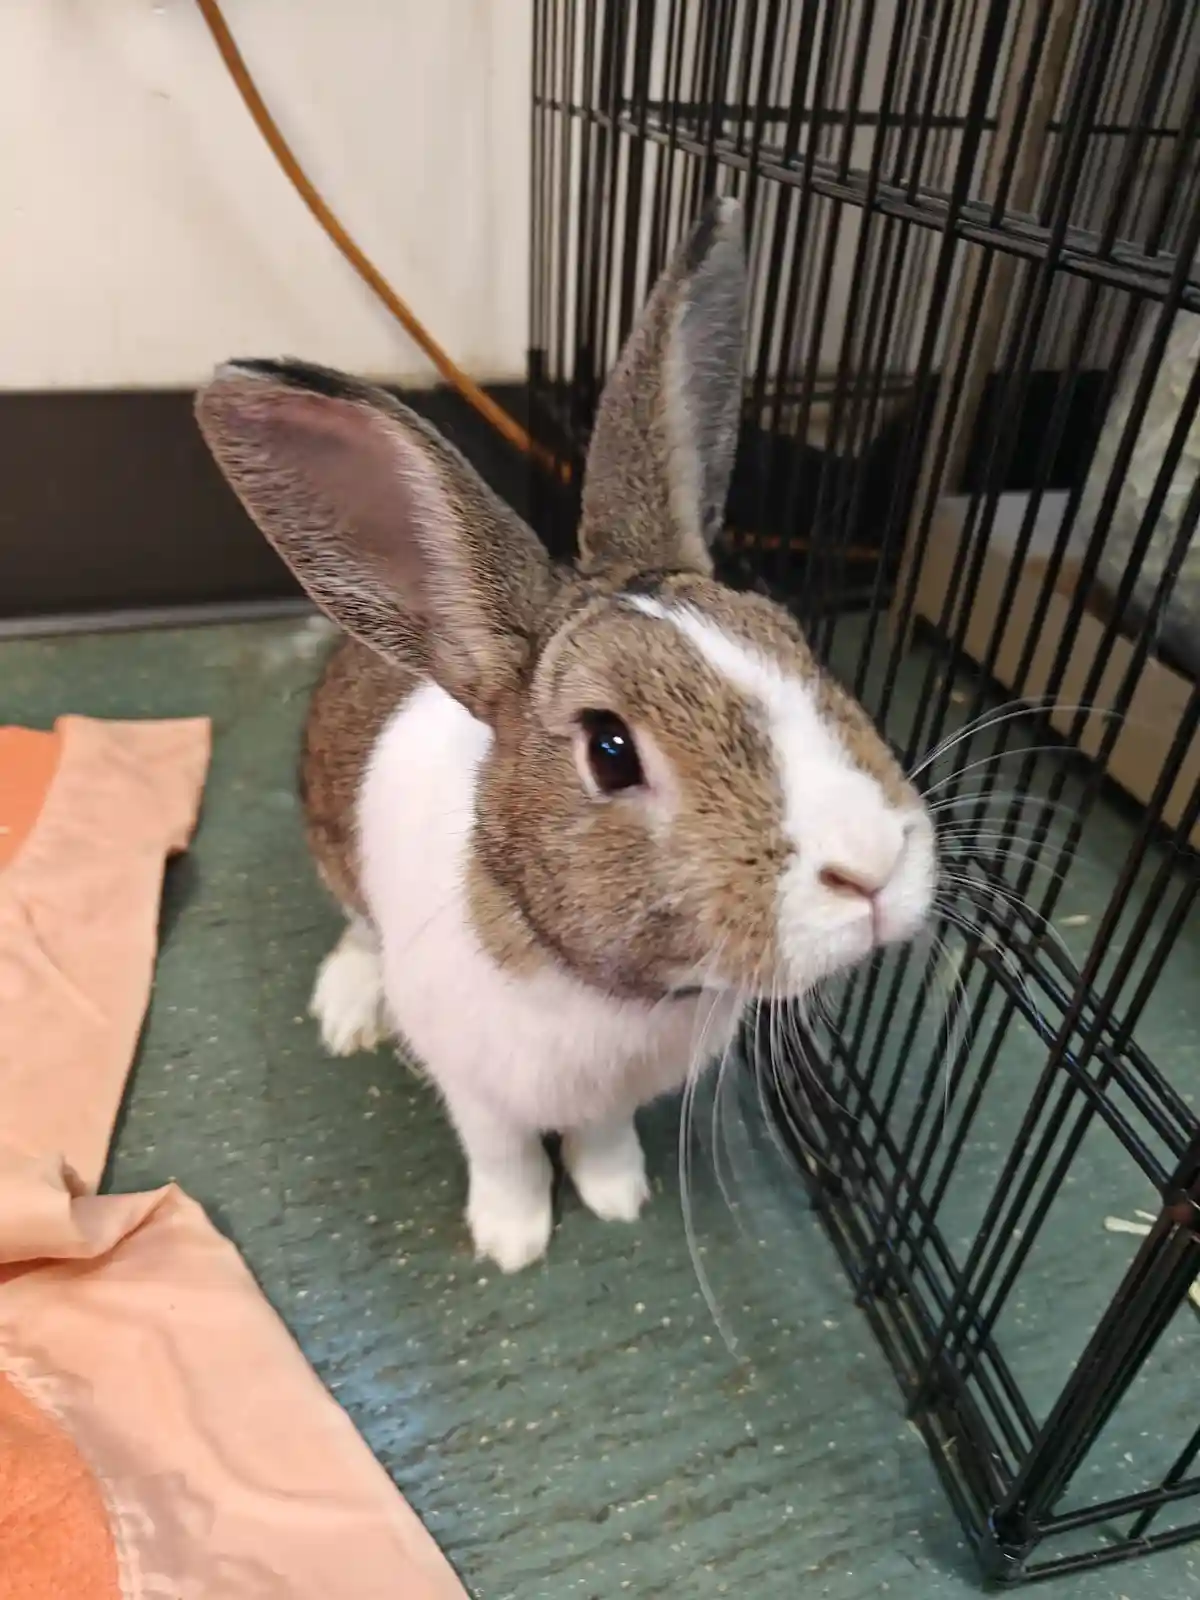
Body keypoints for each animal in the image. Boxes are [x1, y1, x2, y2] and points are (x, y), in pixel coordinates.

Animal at [195, 198, 937, 1273]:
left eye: (796, 641)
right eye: (611, 750)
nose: (874, 868)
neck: (612, 993)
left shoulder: (614, 1099)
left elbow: (601, 1136)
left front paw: (617, 1195)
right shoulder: (477, 1089)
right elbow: (503, 1155)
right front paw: (513, 1241)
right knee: (356, 929)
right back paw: (347, 1007)